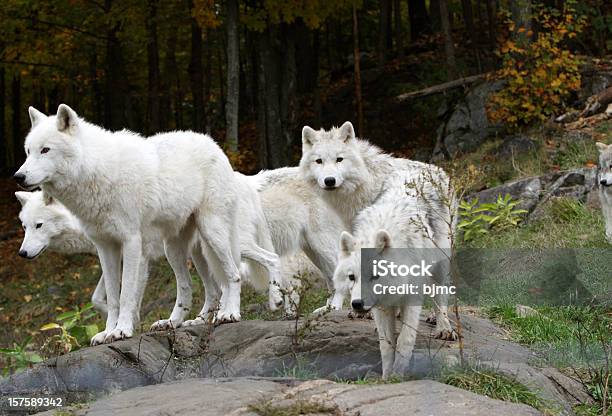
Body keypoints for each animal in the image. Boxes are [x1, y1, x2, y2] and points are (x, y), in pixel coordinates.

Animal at [14, 105, 280, 344]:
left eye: (45, 150)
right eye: (27, 151)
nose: (18, 176)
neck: (96, 170)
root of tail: (215, 146)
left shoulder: (133, 246)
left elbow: (126, 295)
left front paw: (122, 330)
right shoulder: (105, 248)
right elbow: (111, 297)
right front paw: (107, 332)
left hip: (216, 236)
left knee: (240, 272)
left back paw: (235, 312)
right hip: (179, 250)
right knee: (195, 288)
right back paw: (178, 322)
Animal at [298, 122, 456, 340]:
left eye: (339, 159)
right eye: (319, 161)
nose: (329, 180)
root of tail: (438, 170)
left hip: (440, 251)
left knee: (440, 288)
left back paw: (443, 325)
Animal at [332, 171, 452, 378]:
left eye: (375, 275)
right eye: (352, 277)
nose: (357, 304)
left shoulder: (413, 296)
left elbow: (405, 339)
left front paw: (398, 375)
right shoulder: (381, 307)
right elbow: (386, 345)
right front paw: (386, 376)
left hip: (440, 264)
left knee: (440, 296)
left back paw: (443, 326)